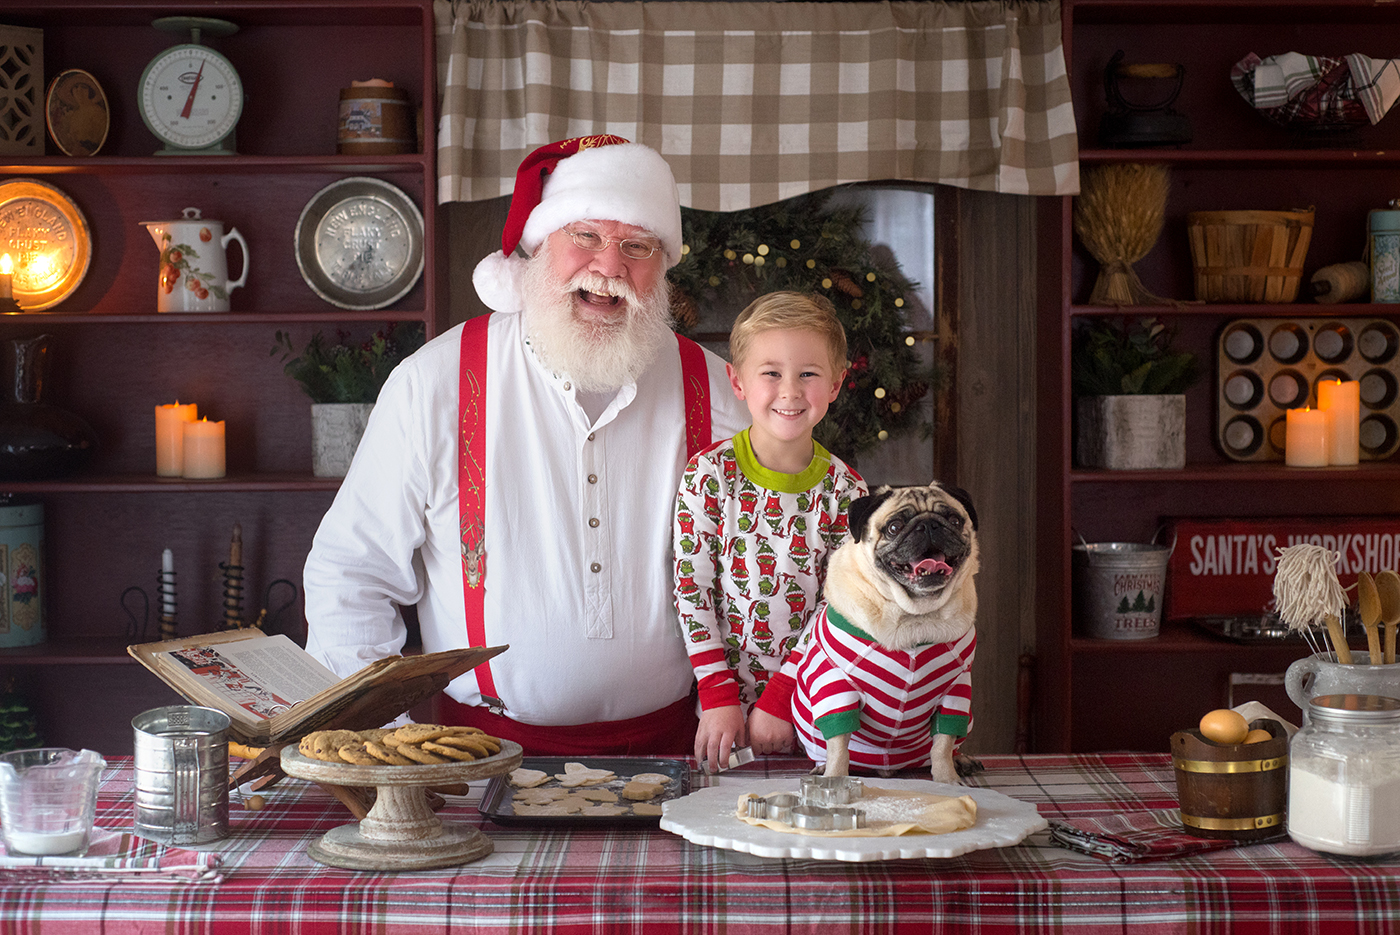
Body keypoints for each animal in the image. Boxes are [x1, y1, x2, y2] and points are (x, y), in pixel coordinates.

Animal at [795, 487, 980, 783]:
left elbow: (943, 743)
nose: (929, 525)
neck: (915, 614)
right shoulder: (836, 687)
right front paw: (835, 777)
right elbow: (839, 746)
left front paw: (948, 780)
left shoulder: (956, 690)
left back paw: (961, 760)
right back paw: (823, 767)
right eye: (894, 527)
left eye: (954, 520)